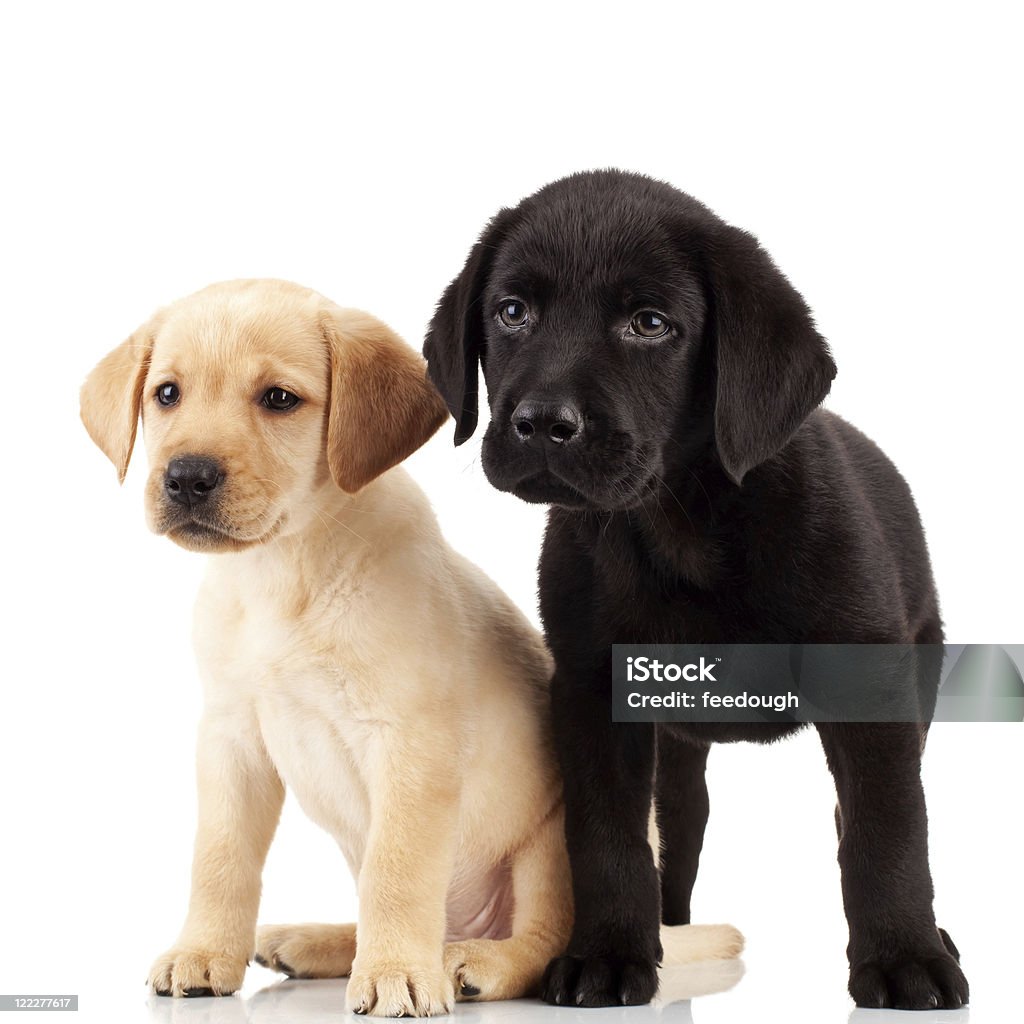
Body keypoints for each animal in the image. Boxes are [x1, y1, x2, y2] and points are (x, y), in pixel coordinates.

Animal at [77, 278, 745, 1015]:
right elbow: (220, 860)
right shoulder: (231, 740)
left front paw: (397, 973)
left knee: (537, 938)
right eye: (166, 394)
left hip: (551, 842)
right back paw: (318, 942)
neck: (286, 571)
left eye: (279, 398)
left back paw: (468, 961)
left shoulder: (410, 745)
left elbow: (396, 873)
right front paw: (203, 954)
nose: (187, 477)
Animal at [423, 172, 966, 1011]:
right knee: (677, 833)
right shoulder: (592, 689)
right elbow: (608, 835)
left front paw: (905, 958)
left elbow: (888, 831)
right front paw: (608, 955)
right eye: (512, 312)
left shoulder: (870, 695)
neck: (680, 525)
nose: (542, 422)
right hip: (674, 754)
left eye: (650, 324)